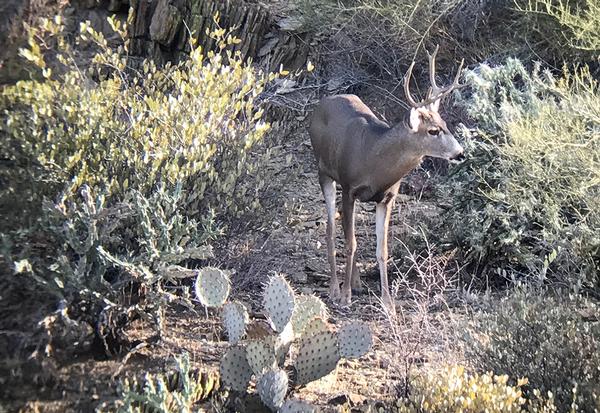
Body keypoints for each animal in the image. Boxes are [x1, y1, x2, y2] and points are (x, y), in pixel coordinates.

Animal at [310, 45, 464, 308]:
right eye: (433, 131)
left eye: (445, 124)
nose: (460, 153)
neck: (374, 161)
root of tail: (321, 103)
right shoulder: (349, 187)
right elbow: (350, 243)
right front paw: (345, 297)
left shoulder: (388, 197)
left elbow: (381, 250)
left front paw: (387, 301)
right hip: (324, 171)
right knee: (331, 229)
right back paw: (334, 289)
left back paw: (357, 283)